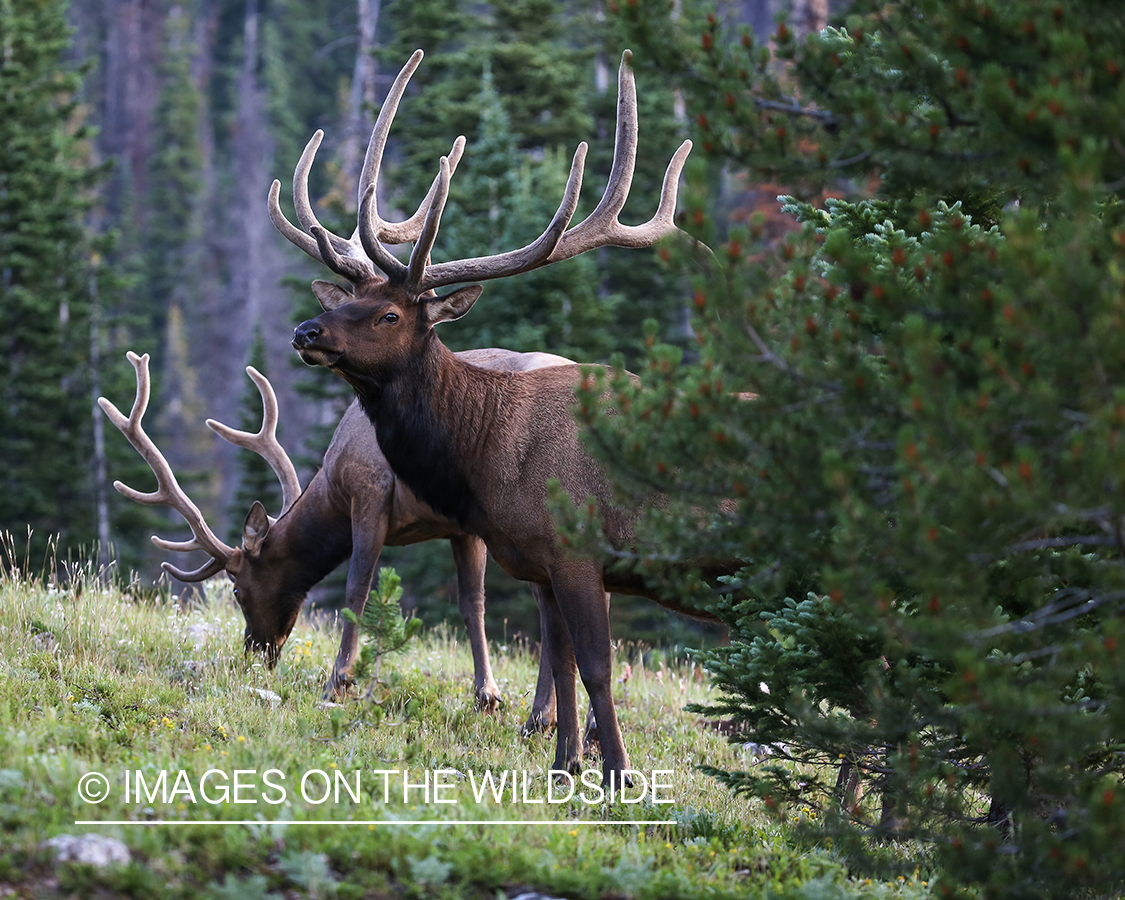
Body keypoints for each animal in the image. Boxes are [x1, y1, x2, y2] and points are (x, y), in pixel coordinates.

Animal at [96, 348, 571, 729]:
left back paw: (541, 718)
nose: (253, 653)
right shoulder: (462, 528)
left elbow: (356, 591)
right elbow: (473, 605)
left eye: (236, 590)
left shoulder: (370, 491)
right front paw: (486, 696)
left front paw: (337, 682)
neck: (333, 483)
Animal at [276, 49, 724, 783]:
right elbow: (565, 665)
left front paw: (617, 772)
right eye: (348, 297)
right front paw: (564, 764)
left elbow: (596, 668)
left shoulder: (576, 549)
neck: (490, 446)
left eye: (389, 313)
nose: (306, 331)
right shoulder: (541, 561)